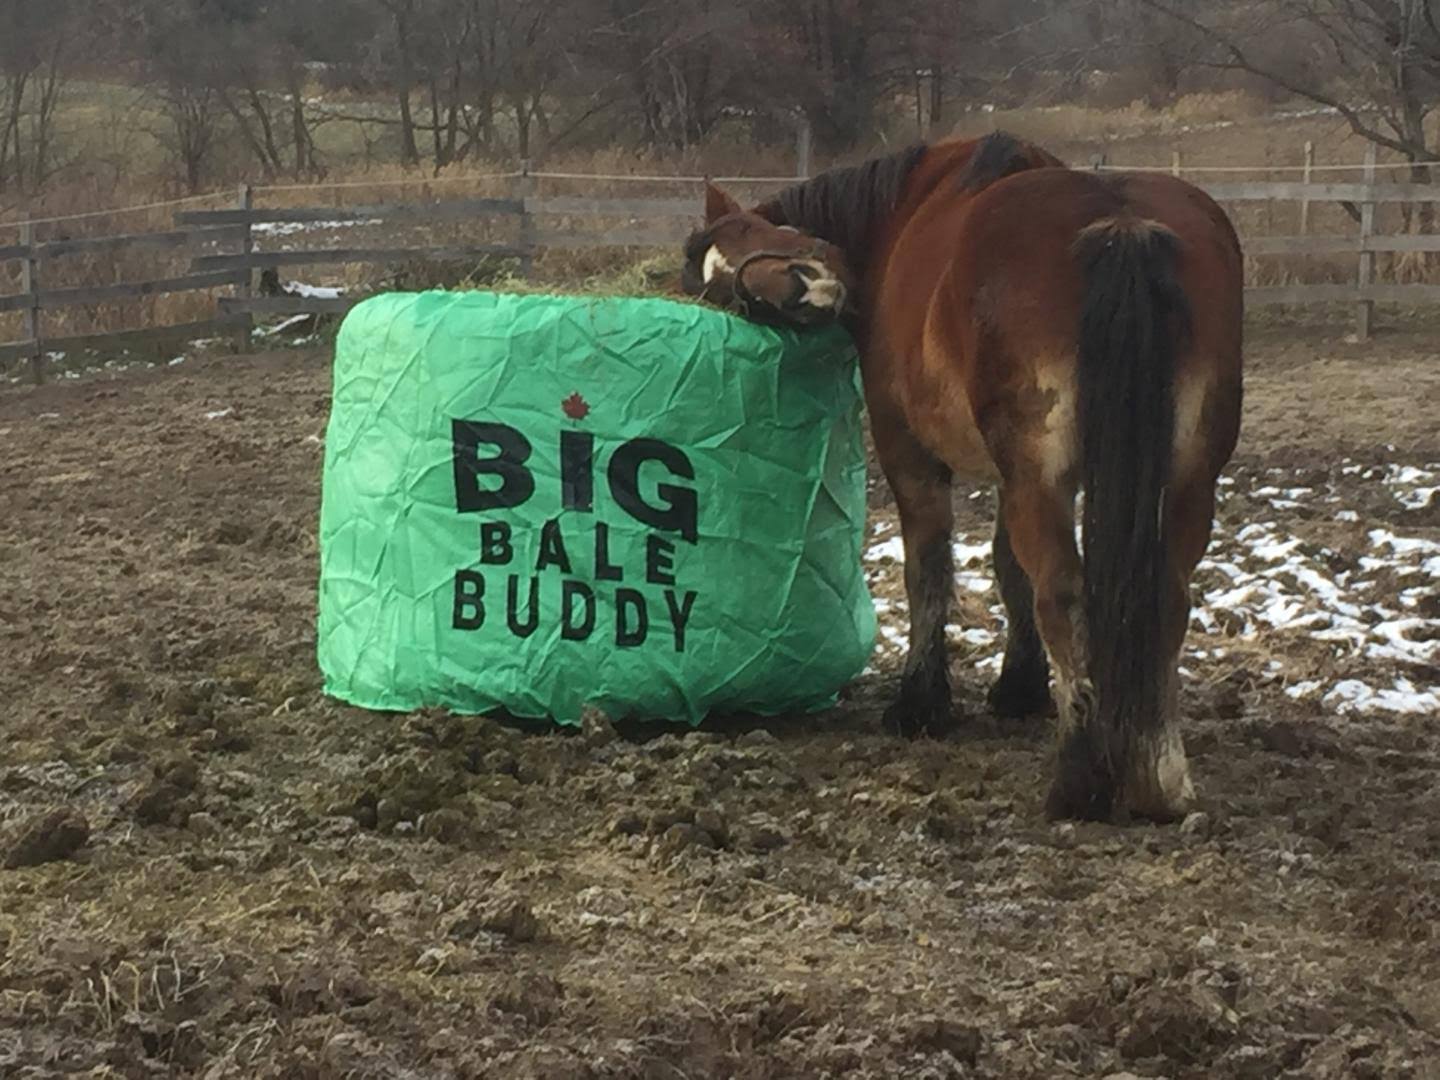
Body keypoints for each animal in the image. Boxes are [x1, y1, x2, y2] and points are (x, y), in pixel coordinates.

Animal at [680, 133, 1244, 823]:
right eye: (734, 300)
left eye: (744, 235)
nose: (796, 290)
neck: (898, 212)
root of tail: (1120, 223)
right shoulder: (1013, 474)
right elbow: (1007, 567)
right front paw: (1019, 687)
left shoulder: (908, 451)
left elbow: (928, 569)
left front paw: (921, 701)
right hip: (1183, 478)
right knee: (1166, 593)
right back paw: (1159, 779)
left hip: (1046, 479)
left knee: (1063, 592)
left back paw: (1080, 779)